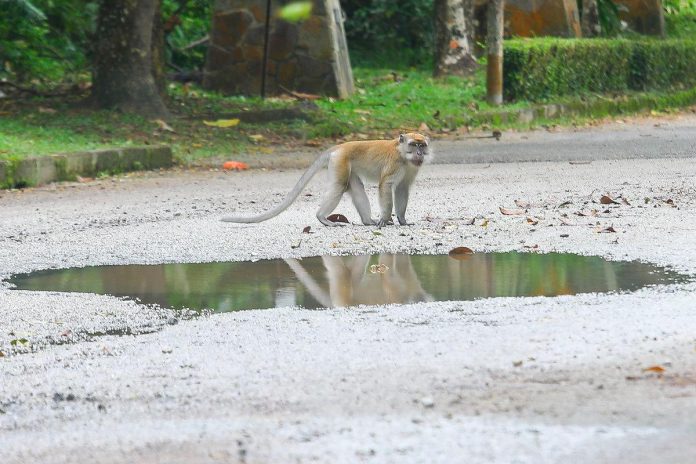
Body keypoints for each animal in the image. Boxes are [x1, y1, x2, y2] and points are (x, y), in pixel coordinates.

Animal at [222, 133, 431, 227]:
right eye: (414, 144)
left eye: (422, 145)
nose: (420, 153)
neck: (403, 154)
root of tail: (340, 147)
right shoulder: (395, 164)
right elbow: (386, 185)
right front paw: (386, 219)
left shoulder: (411, 168)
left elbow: (402, 188)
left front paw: (402, 220)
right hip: (340, 161)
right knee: (339, 186)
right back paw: (322, 218)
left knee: (354, 186)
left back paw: (366, 221)